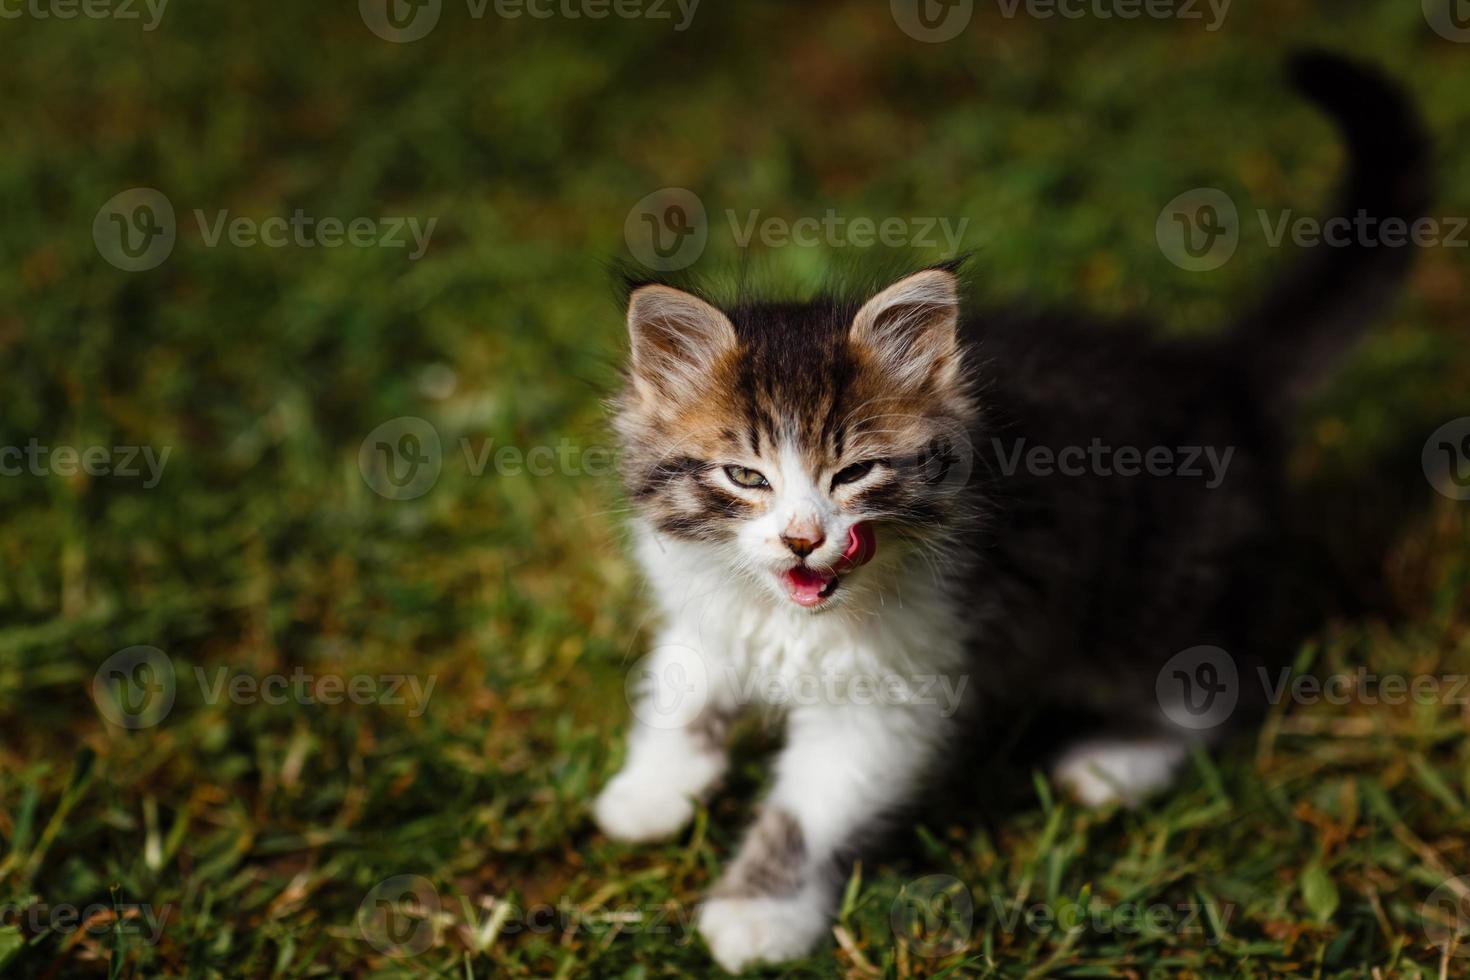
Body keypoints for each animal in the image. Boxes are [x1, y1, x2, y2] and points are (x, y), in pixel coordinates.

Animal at [593, 53, 1422, 975]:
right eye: (745, 475)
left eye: (855, 473)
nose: (805, 539)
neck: (792, 615)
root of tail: (1216, 375)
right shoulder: (705, 600)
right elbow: (681, 677)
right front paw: (652, 787)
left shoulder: (898, 689)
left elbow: (811, 809)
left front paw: (760, 911)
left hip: (1147, 602)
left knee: (1214, 688)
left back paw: (1117, 762)